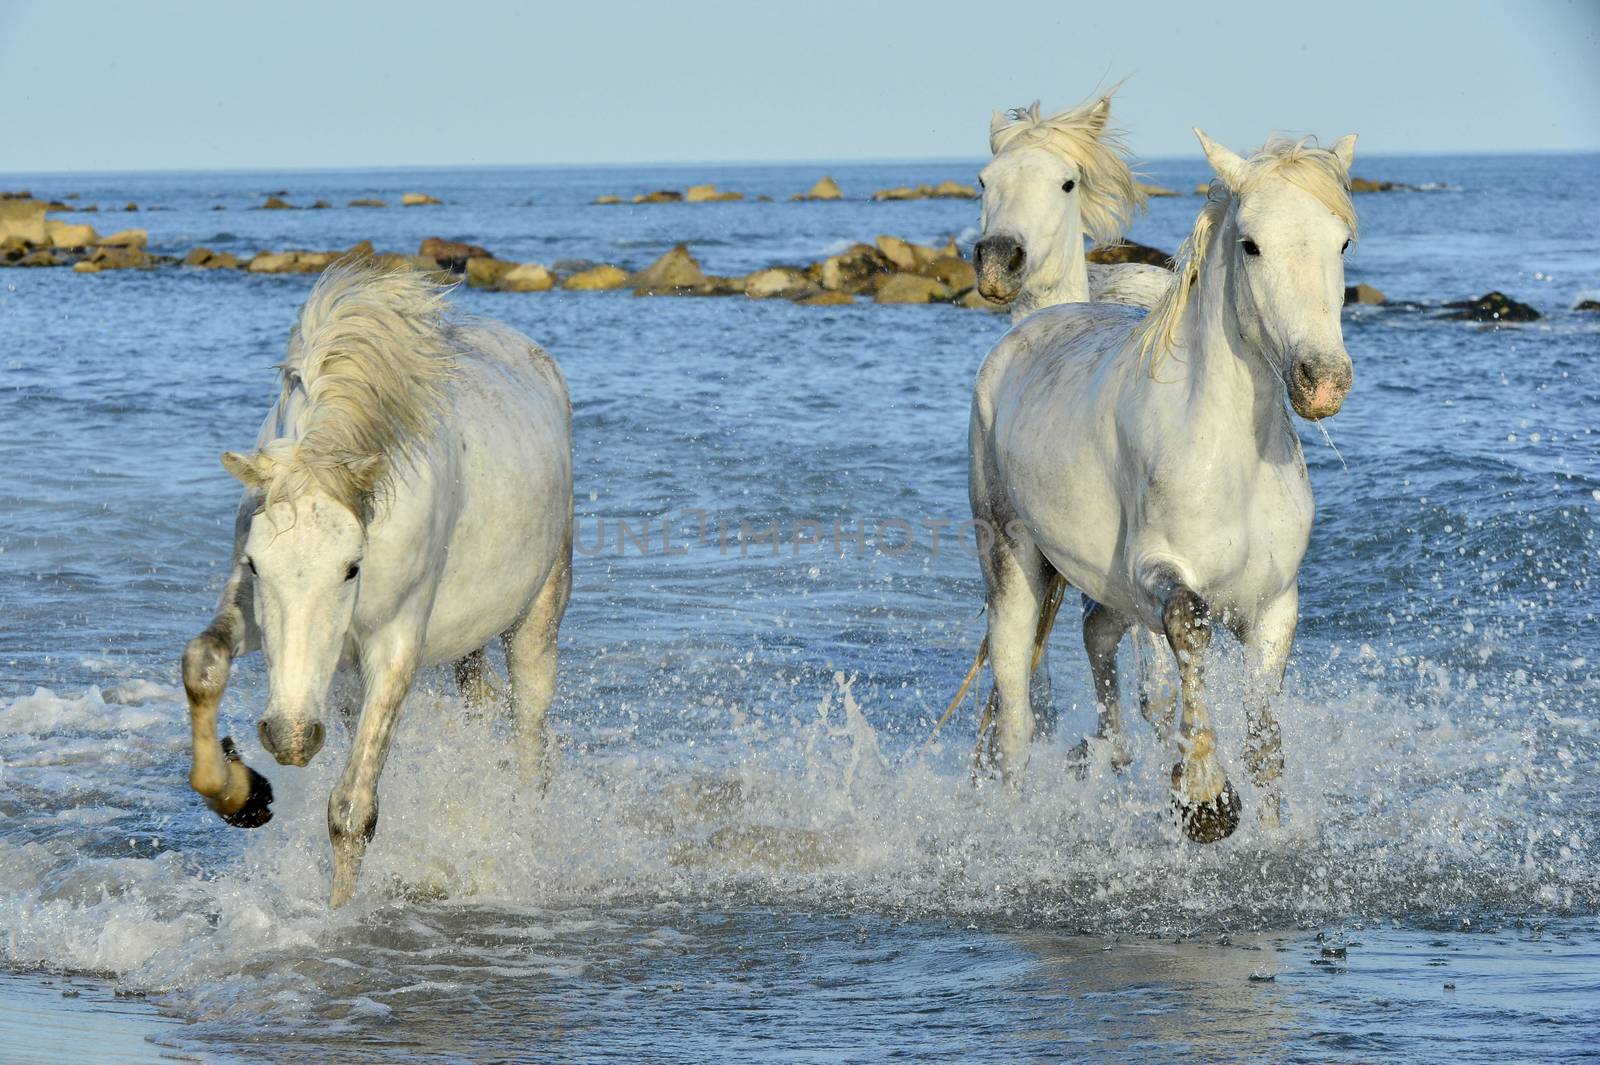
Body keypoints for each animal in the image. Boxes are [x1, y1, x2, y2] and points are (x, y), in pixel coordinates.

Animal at [184, 260, 572, 901]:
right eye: (257, 564)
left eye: (352, 567)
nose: (289, 737)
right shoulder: (252, 609)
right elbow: (203, 664)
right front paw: (242, 796)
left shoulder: (396, 644)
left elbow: (352, 810)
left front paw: (339, 916)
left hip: (538, 612)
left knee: (529, 732)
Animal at [966, 128, 1356, 831]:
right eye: (1251, 244)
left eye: (1341, 241)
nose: (1322, 380)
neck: (1230, 457)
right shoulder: (1158, 574)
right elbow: (1188, 624)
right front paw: (1203, 796)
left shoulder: (1275, 607)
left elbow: (1264, 745)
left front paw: (1269, 832)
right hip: (1012, 565)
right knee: (1014, 720)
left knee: (1097, 641)